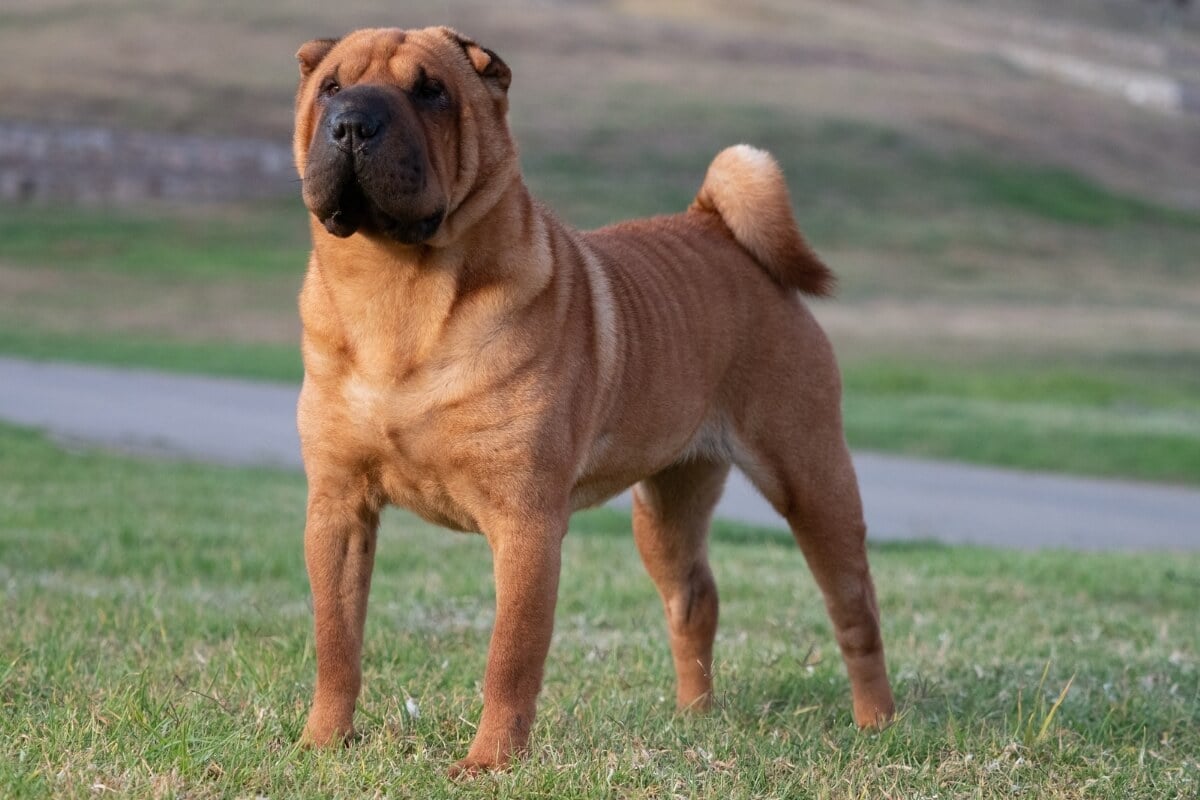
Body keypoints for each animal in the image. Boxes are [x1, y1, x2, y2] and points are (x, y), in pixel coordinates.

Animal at [290, 25, 892, 777]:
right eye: (331, 88)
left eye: (431, 91)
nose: (352, 123)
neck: (394, 289)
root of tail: (718, 229)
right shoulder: (339, 507)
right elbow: (336, 642)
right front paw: (320, 744)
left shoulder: (526, 522)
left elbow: (510, 658)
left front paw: (488, 764)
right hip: (666, 508)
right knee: (694, 598)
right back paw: (694, 718)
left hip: (811, 480)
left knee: (855, 609)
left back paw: (878, 724)